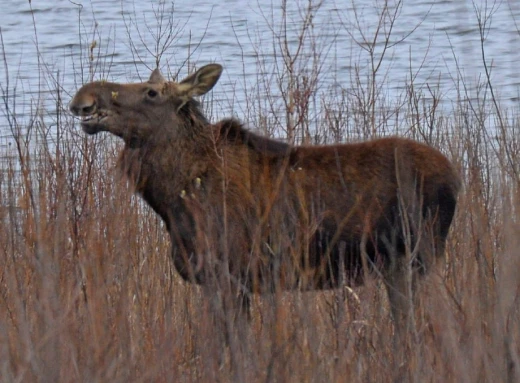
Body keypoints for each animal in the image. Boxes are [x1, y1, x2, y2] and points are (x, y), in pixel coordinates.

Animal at [68, 64, 460, 338]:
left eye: (151, 92)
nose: (85, 96)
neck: (172, 198)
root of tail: (457, 179)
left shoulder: (229, 277)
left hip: (413, 260)